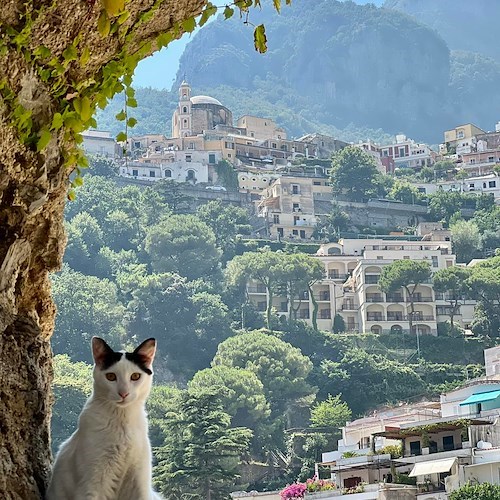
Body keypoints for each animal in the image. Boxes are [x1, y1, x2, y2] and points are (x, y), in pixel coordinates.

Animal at [46, 336, 164, 500]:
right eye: (111, 377)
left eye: (135, 376)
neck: (122, 420)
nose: (123, 393)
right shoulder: (93, 483)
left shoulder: (139, 481)